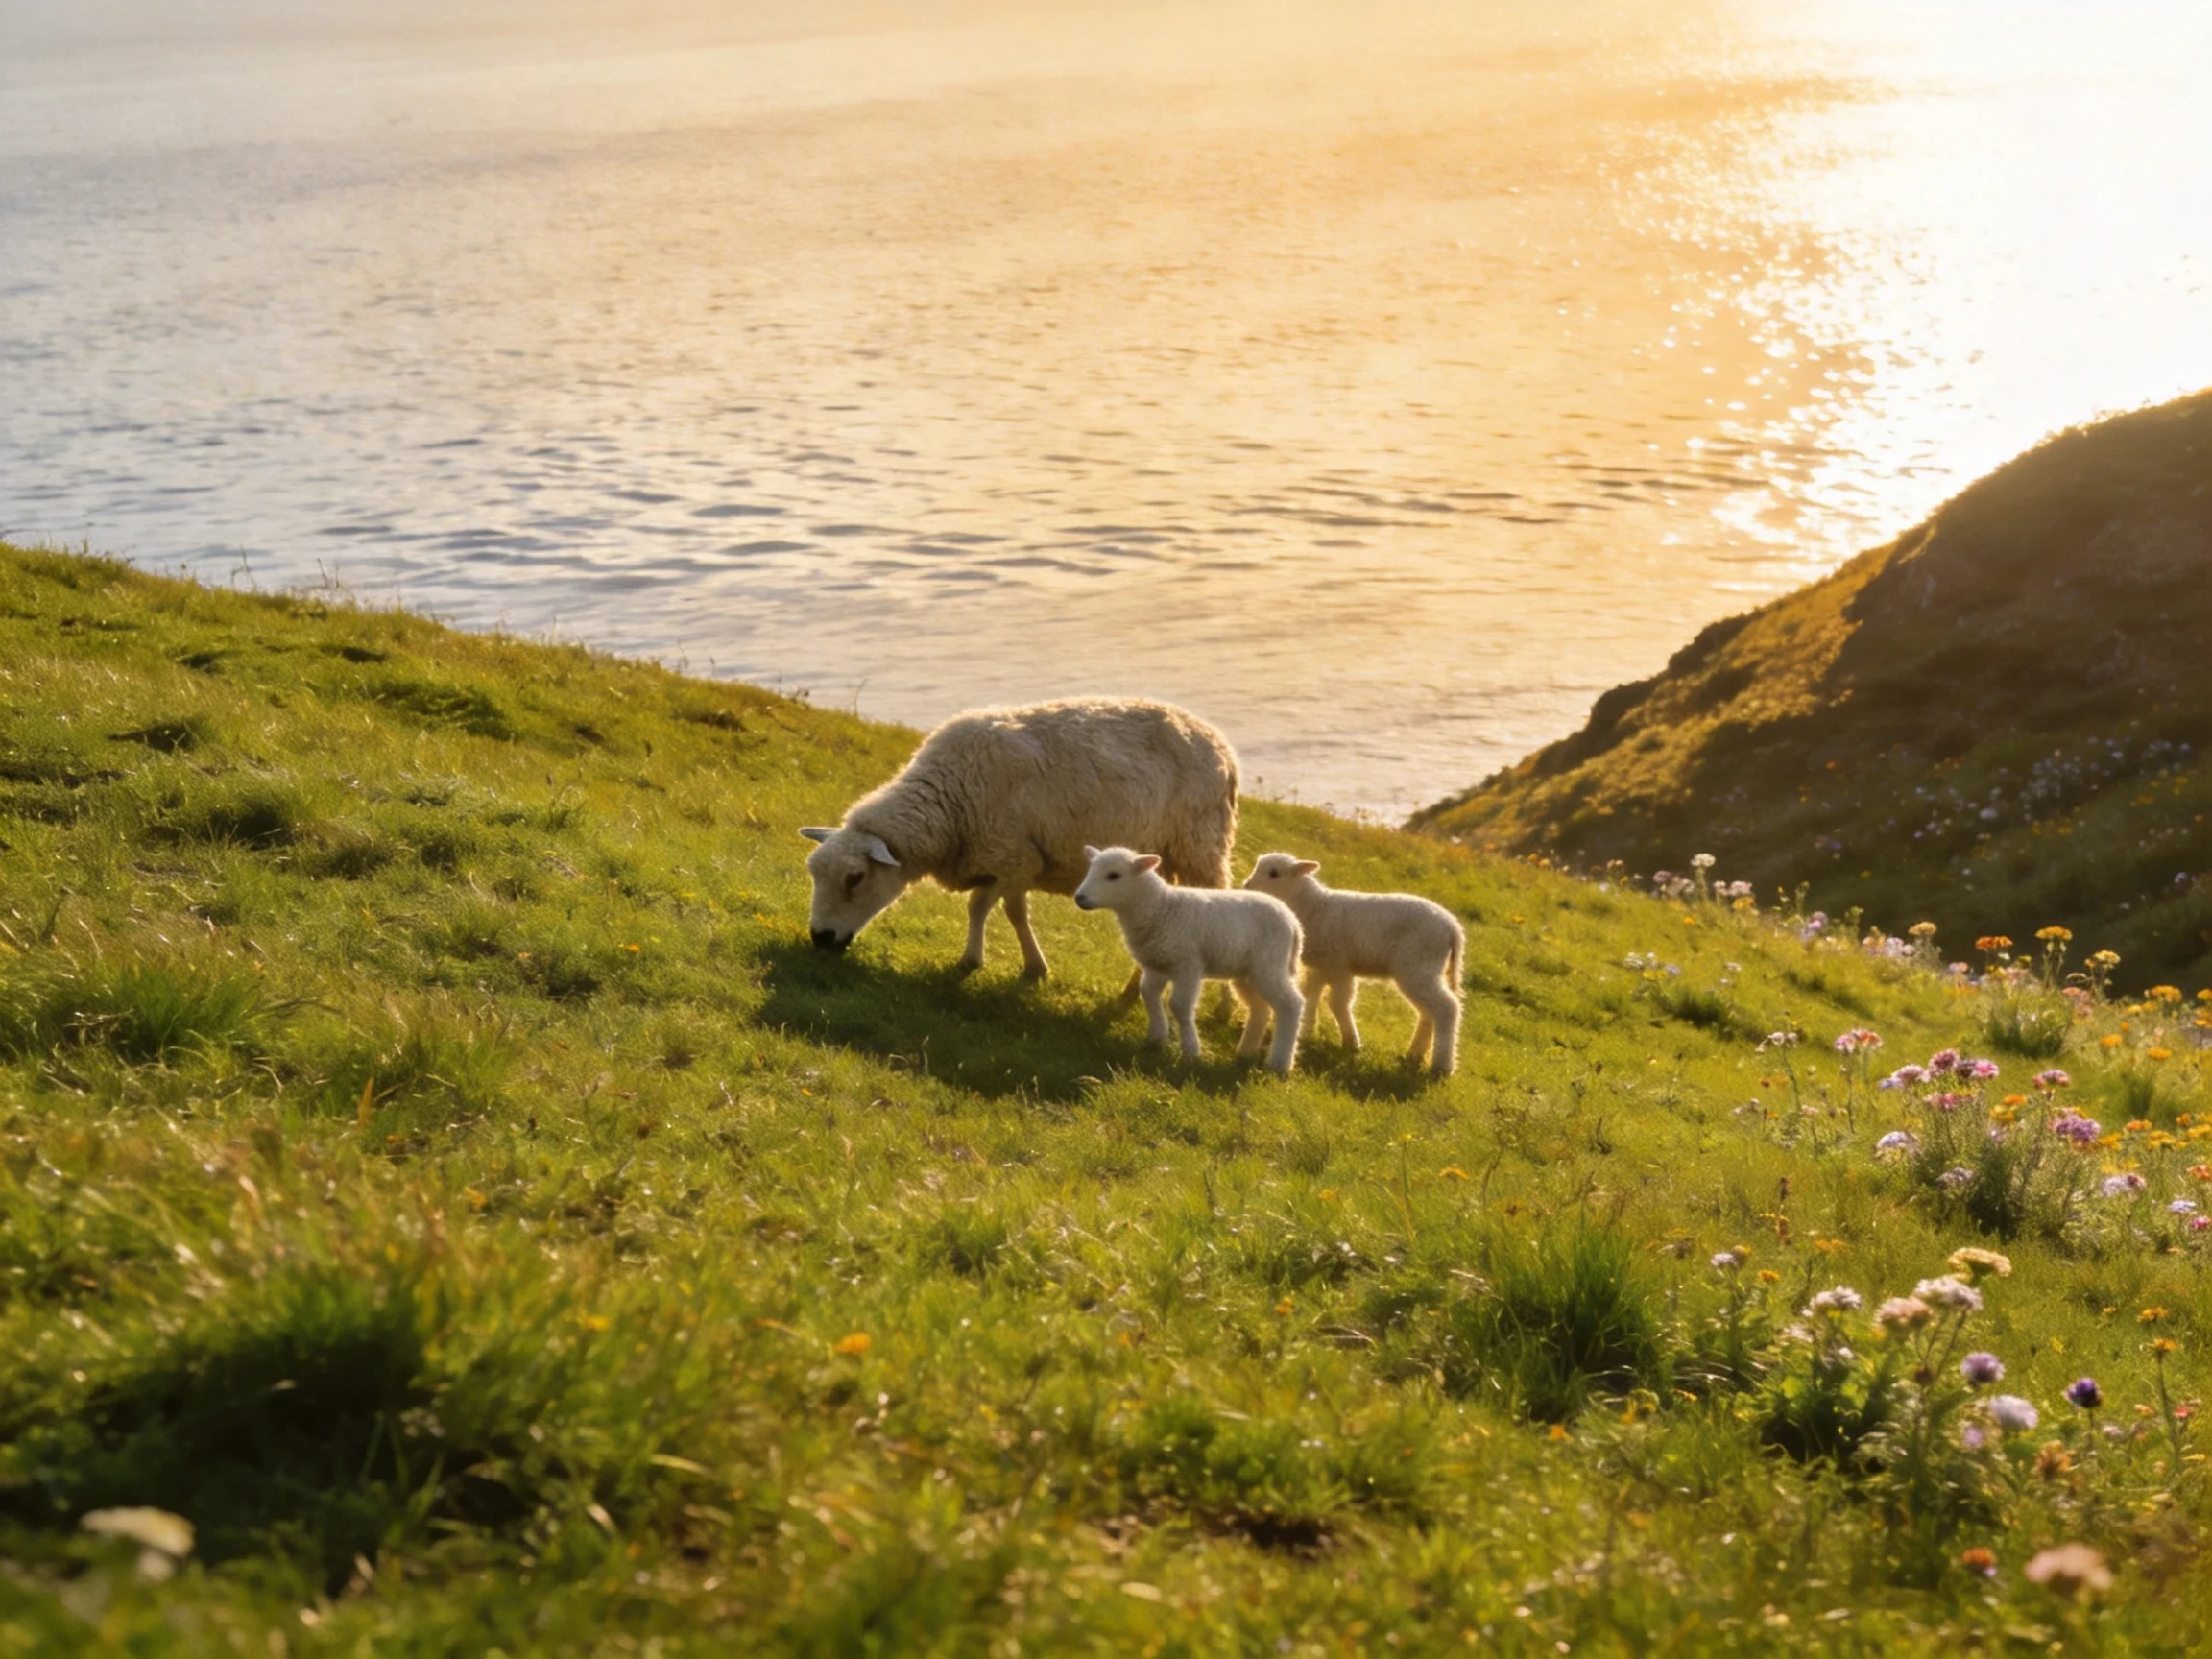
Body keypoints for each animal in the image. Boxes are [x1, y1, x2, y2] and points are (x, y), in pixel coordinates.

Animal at [799, 697, 1238, 980]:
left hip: (1202, 845)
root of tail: (1222, 745)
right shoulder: (995, 857)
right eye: (814, 873)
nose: (819, 940)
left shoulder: (1018, 858)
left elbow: (1013, 912)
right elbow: (977, 907)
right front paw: (971, 959)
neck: (950, 802)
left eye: (855, 878)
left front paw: (1034, 968)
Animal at [1074, 844, 1305, 1075]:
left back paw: (1279, 1064)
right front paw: (1156, 1037)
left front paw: (1191, 1052)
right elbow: (1148, 994)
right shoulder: (1157, 966)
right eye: (1091, 869)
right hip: (1248, 972)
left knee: (1291, 1005)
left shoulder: (1188, 965)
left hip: (1271, 963)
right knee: (1260, 1009)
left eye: (1114, 875)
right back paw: (1244, 1053)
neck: (1160, 907)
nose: (1080, 897)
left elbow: (1179, 1005)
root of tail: (1294, 923)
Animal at [1242, 852, 1464, 1076]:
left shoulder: (1339, 966)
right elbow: (1311, 996)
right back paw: (1415, 1054)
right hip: (1423, 971)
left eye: (1274, 873)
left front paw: (1351, 1042)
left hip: (1419, 967)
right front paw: (1307, 1032)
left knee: (1447, 1008)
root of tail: (1453, 928)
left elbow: (1337, 1003)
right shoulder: (1320, 966)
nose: (1247, 886)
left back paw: (1442, 1065)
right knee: (1429, 1013)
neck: (1314, 907)